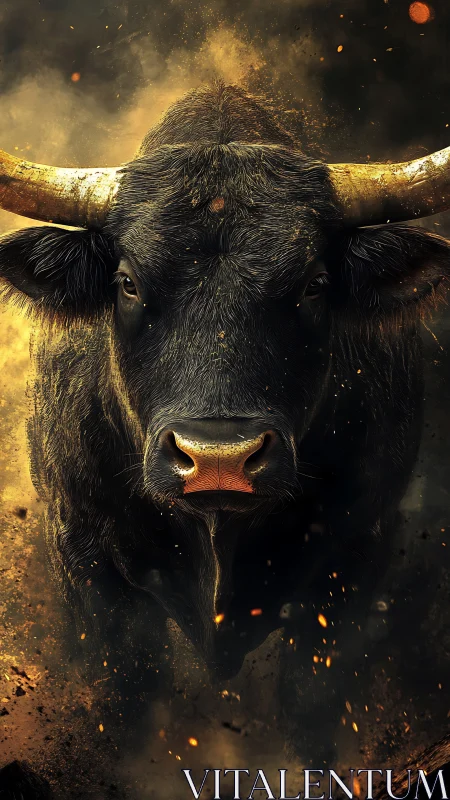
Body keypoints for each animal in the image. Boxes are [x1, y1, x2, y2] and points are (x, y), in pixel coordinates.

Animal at [0, 83, 449, 762]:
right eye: (127, 282)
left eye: (315, 283)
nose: (219, 458)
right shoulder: (85, 556)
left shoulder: (358, 549)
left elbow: (312, 704)